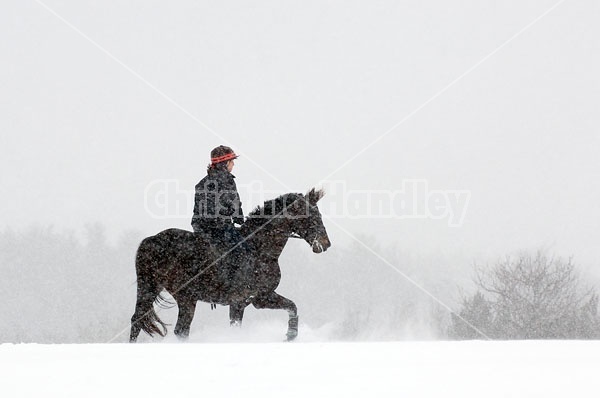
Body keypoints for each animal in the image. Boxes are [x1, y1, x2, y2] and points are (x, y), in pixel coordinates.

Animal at [128, 187, 330, 342]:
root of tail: (152, 239)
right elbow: (291, 307)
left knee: (139, 320)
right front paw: (291, 335)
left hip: (151, 288)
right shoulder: (255, 299)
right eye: (312, 216)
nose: (325, 244)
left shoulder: (251, 301)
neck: (259, 248)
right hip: (186, 297)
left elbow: (291, 307)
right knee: (180, 330)